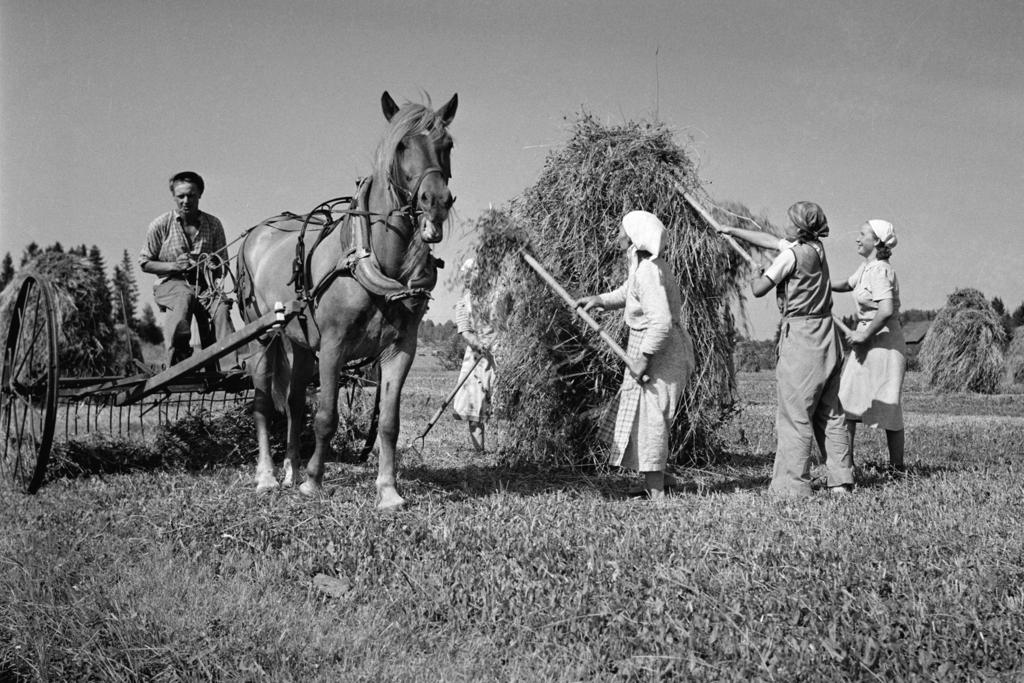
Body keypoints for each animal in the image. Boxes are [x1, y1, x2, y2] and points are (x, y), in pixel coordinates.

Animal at [237, 89, 458, 507]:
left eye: (448, 144)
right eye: (401, 145)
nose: (436, 201)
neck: (369, 260)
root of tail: (258, 233)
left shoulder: (401, 348)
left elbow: (388, 422)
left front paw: (388, 490)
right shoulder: (334, 345)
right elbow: (326, 417)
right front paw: (313, 481)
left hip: (300, 343)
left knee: (293, 403)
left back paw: (289, 469)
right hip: (262, 336)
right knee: (262, 404)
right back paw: (267, 476)